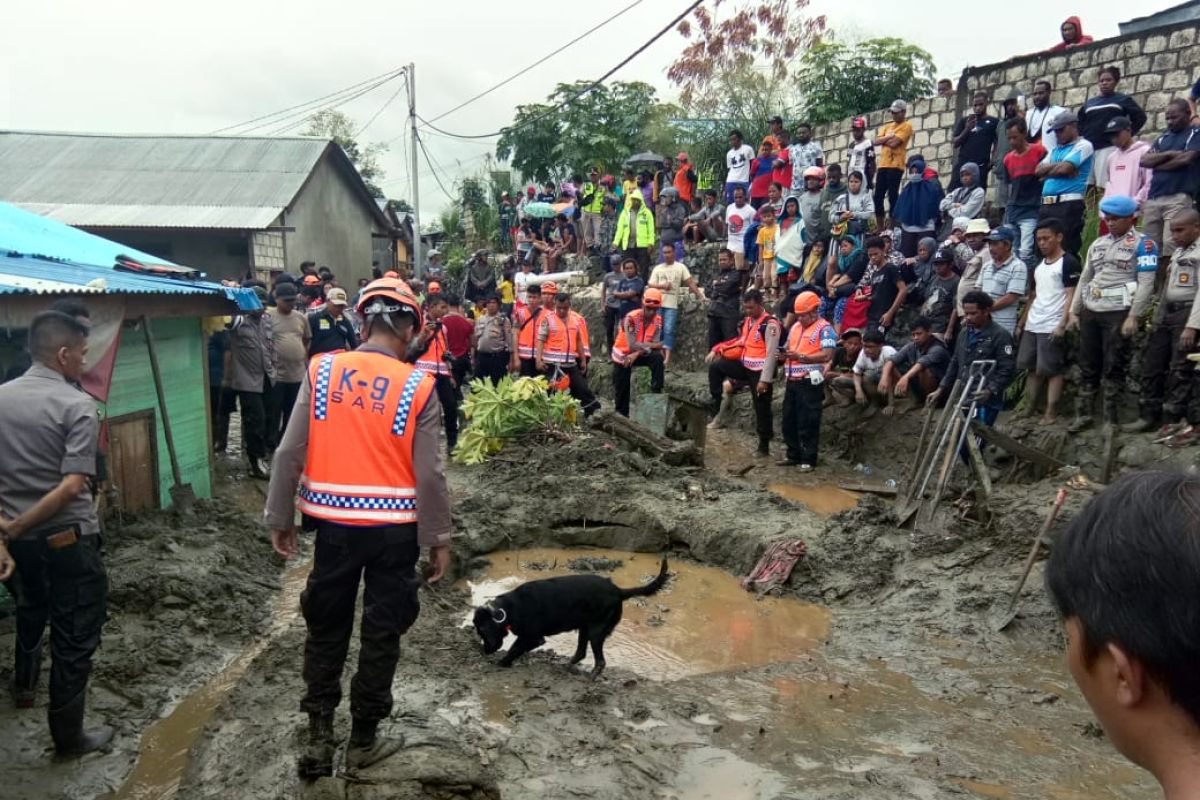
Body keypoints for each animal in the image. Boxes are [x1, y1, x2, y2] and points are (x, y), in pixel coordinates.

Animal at [472, 556, 672, 681]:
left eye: (482, 631)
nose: (485, 651)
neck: (509, 609)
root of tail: (618, 591)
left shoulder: (533, 637)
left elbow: (514, 648)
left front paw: (502, 663)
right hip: (585, 628)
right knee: (581, 652)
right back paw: (566, 666)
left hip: (596, 631)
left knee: (600, 661)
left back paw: (591, 677)